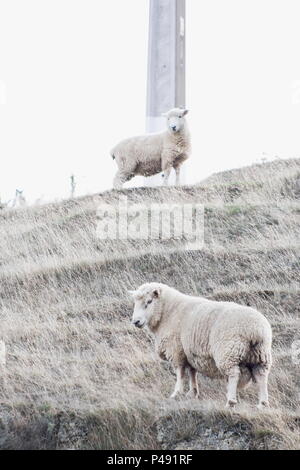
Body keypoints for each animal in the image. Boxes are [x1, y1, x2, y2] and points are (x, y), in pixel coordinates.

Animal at [129, 282, 272, 408]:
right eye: (135, 303)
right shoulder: (189, 353)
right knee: (261, 376)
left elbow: (180, 372)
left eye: (149, 301)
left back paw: (230, 401)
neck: (168, 311)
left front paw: (176, 393)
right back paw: (262, 403)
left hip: (228, 352)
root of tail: (256, 330)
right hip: (260, 355)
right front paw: (192, 392)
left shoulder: (176, 350)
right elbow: (192, 372)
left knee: (234, 374)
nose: (136, 321)